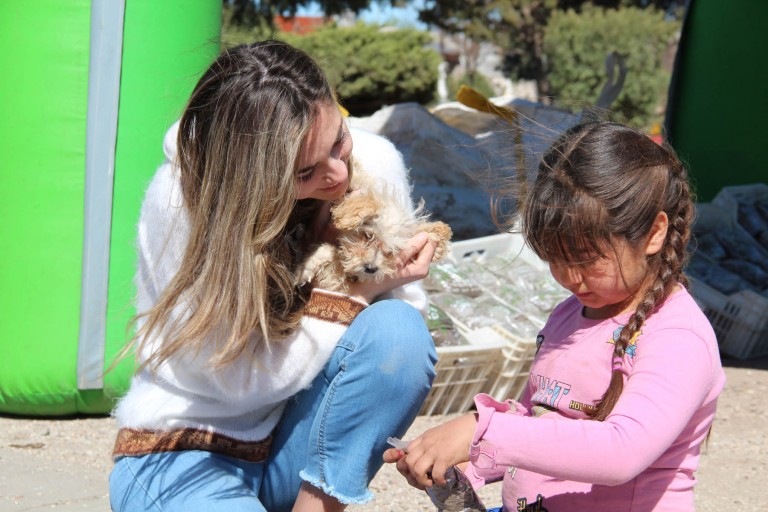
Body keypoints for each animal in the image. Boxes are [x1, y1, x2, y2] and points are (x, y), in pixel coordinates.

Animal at [297, 172, 452, 293]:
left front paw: (304, 269)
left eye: (391, 251)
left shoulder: (338, 282)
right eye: (368, 236)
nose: (371, 269)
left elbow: (330, 251)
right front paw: (303, 270)